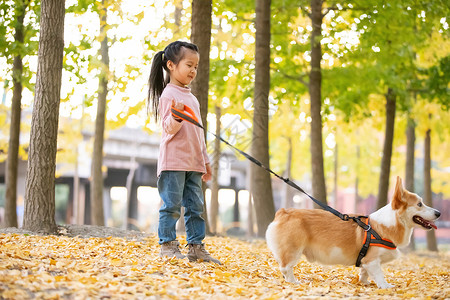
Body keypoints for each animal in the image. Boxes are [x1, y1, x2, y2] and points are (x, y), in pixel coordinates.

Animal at [266, 176, 442, 288]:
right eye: (419, 204)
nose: (439, 213)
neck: (389, 224)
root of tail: (283, 212)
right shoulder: (372, 260)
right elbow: (379, 274)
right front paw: (385, 286)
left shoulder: (366, 261)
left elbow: (364, 272)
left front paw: (364, 283)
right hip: (293, 250)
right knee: (286, 267)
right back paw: (294, 282)